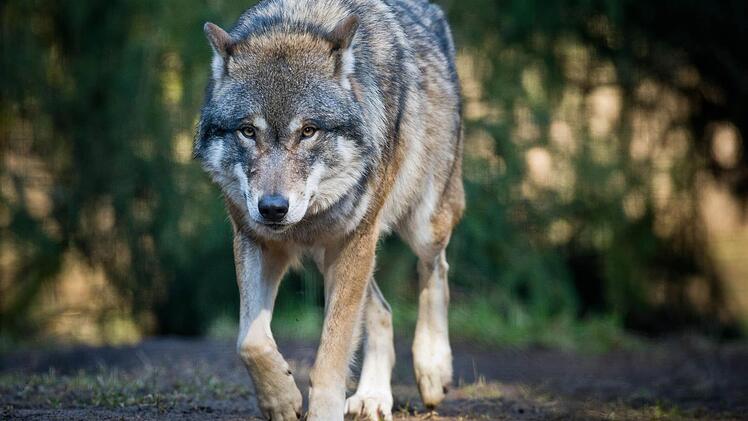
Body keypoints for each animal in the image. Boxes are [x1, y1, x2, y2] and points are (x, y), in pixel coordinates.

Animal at [194, 0, 463, 419]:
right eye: (248, 131)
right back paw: (373, 396)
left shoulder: (355, 239)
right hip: (331, 254)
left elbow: (331, 358)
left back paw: (432, 368)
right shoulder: (255, 240)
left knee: (436, 268)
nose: (273, 208)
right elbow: (249, 341)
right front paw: (281, 399)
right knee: (383, 309)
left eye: (308, 131)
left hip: (420, 225)